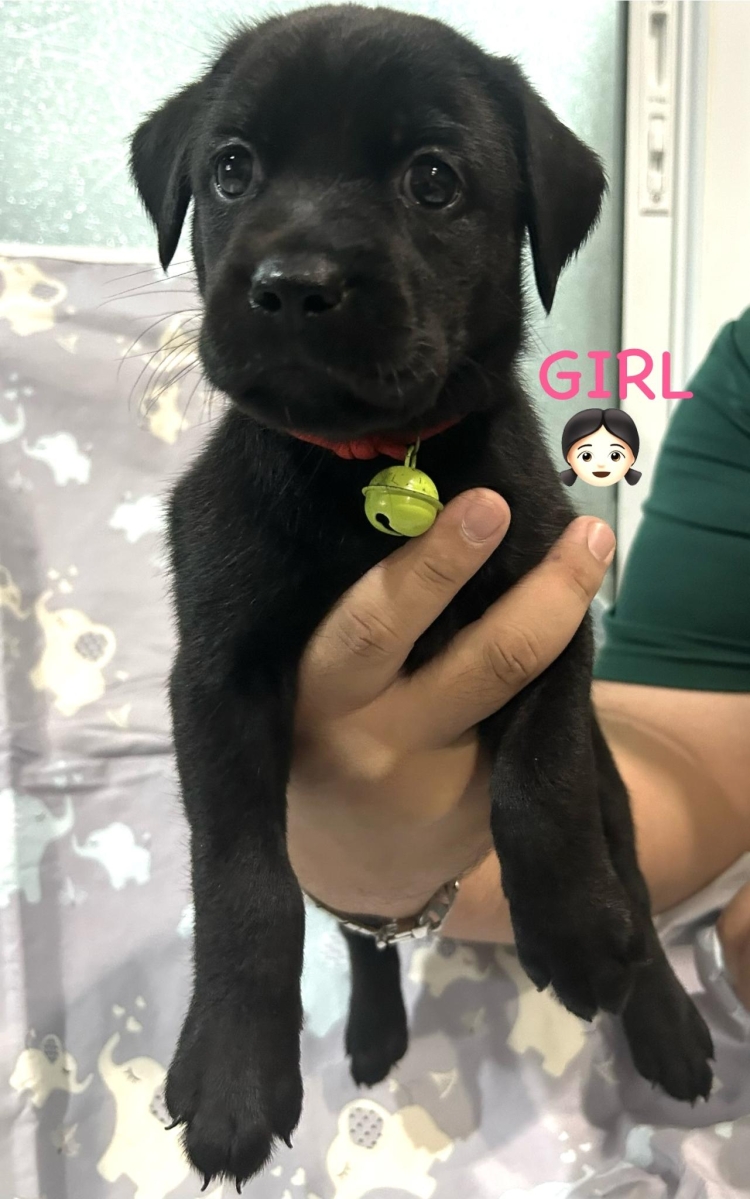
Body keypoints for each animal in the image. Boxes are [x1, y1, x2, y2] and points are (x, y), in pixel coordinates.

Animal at [129, 4, 714, 1189]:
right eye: (231, 169)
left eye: (433, 180)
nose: (292, 283)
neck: (368, 472)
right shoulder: (214, 679)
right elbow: (241, 879)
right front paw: (233, 1073)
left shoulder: (549, 612)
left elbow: (542, 781)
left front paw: (574, 933)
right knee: (364, 930)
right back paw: (372, 1029)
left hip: (617, 782)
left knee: (631, 877)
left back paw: (661, 1013)